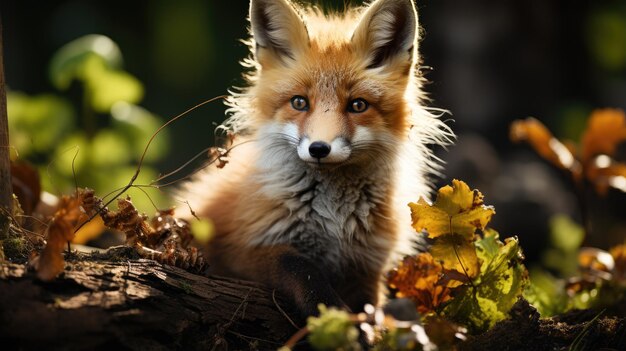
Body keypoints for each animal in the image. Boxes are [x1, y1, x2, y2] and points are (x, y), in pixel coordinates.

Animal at [178, 0, 450, 320]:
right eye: (299, 102)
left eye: (358, 105)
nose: (319, 149)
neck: (333, 221)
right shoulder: (245, 251)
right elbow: (298, 267)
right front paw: (331, 314)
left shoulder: (367, 269)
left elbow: (370, 306)